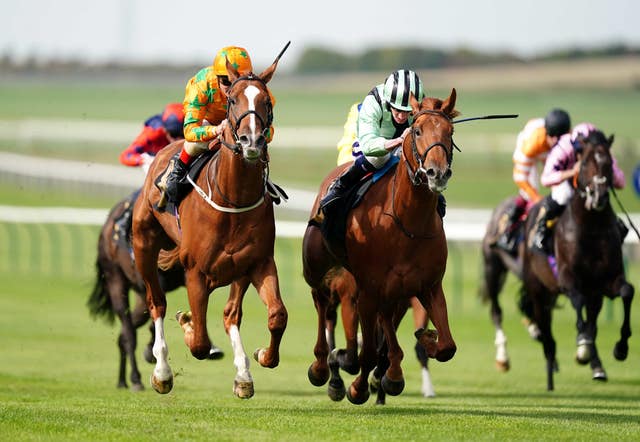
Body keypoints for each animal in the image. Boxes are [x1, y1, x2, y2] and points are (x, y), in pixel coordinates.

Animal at [87, 193, 222, 390]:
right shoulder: (157, 278)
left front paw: (210, 347)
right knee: (129, 333)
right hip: (115, 279)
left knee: (125, 333)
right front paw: (150, 353)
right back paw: (135, 378)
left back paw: (122, 381)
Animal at [132, 51, 288, 398]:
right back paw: (162, 372)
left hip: (237, 272)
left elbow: (277, 316)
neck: (232, 200)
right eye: (232, 100)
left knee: (231, 315)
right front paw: (188, 324)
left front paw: (262, 356)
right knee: (157, 303)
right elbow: (200, 342)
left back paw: (243, 374)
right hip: (143, 243)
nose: (251, 140)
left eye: (266, 101)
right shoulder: (195, 273)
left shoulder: (259, 263)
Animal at [304, 89, 458, 404]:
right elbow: (366, 352)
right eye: (418, 131)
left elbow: (446, 346)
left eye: (449, 132)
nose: (436, 173)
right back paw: (322, 366)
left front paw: (425, 339)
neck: (407, 224)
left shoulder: (427, 286)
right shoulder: (366, 291)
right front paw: (357, 386)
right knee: (322, 304)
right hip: (317, 268)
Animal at [520, 130, 636, 390]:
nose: (600, 196)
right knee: (546, 329)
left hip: (592, 295)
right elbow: (577, 301)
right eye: (584, 164)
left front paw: (621, 347)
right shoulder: (568, 278)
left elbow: (627, 291)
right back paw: (551, 370)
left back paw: (597, 367)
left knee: (592, 320)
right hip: (538, 289)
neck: (591, 227)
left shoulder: (607, 281)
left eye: (609, 163)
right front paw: (581, 344)